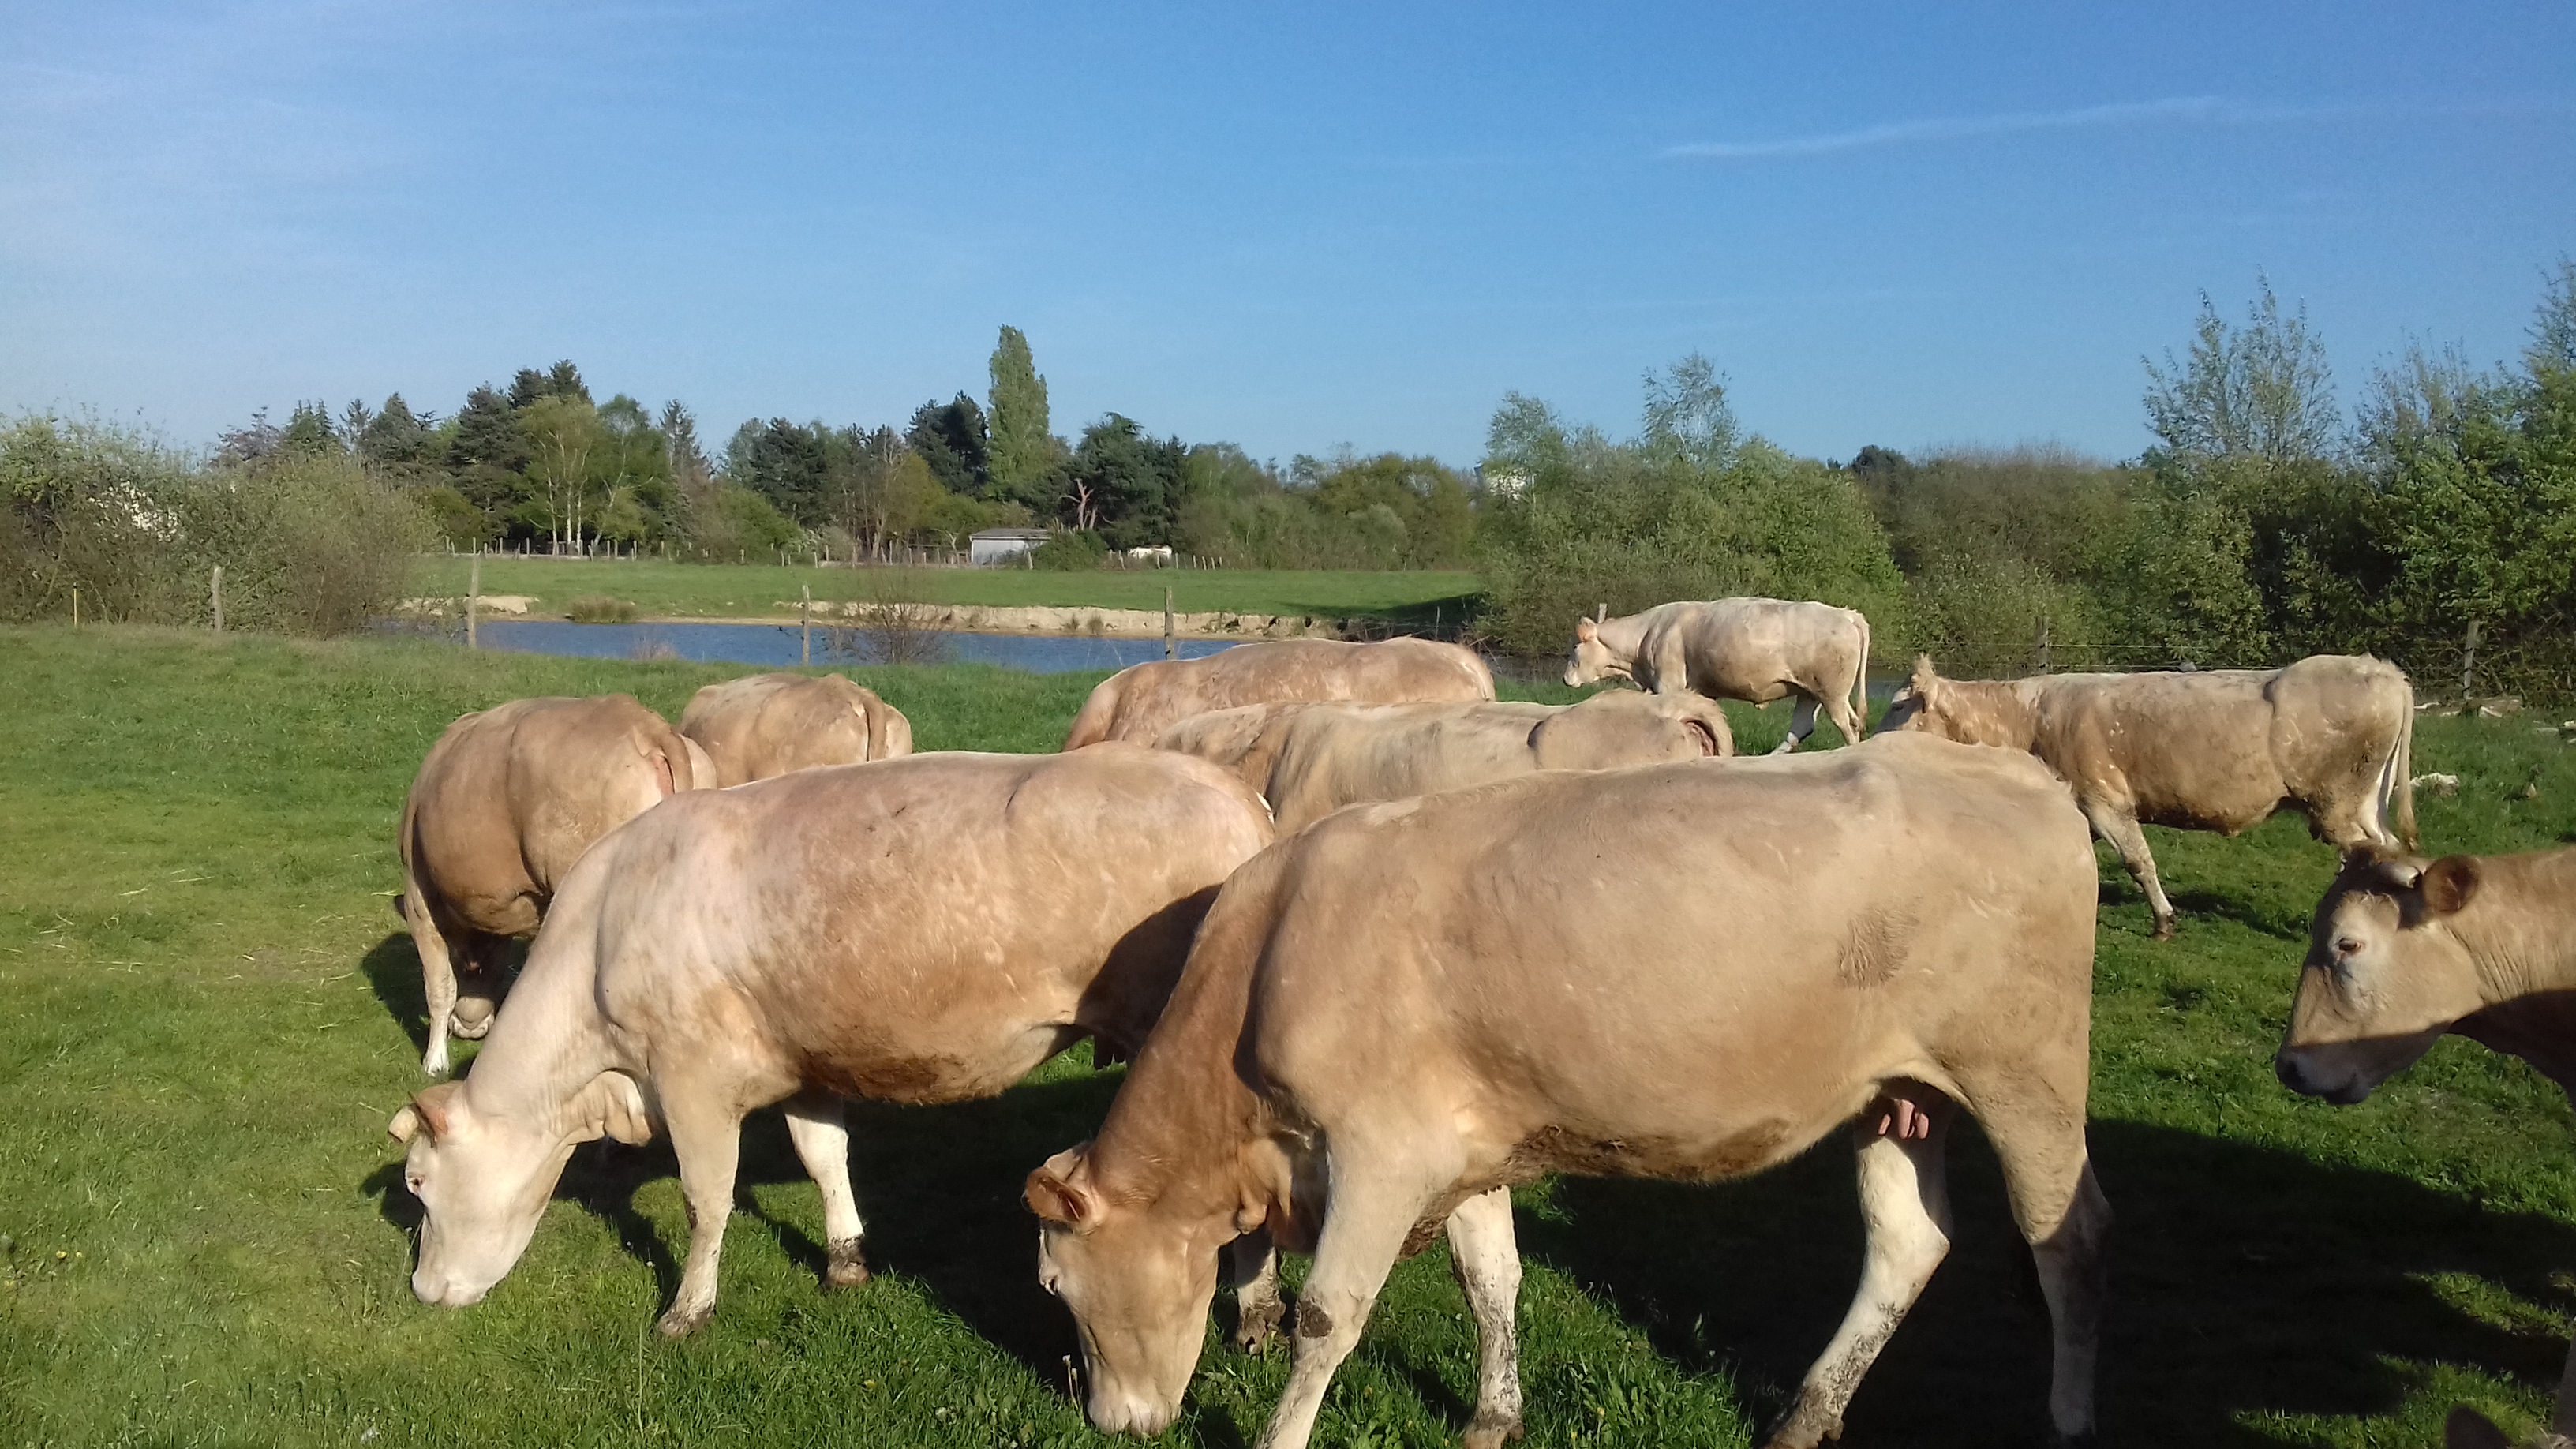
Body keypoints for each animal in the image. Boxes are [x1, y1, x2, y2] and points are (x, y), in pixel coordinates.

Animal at [388, 746, 1273, 1336]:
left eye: (419, 1185)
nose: (422, 1292)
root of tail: (1234, 791)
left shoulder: (692, 1082)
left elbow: (706, 1201)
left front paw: (688, 1309)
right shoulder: (803, 1064)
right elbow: (824, 1159)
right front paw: (846, 1258)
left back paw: (1255, 1309)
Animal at [1026, 732, 2111, 1449]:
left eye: (1054, 1285)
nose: (1106, 1422)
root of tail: (2015, 768)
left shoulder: (1381, 1149)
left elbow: (1328, 1316)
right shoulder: (1465, 1142)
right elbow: (1491, 1279)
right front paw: (1492, 1417)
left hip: (2029, 1074)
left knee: (2067, 1237)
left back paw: (2070, 1417)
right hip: (1895, 1095)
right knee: (1907, 1244)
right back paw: (1806, 1416)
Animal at [1563, 598, 1872, 753]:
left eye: (1575, 648)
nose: (1566, 679)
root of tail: (1847, 614)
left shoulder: (1669, 682)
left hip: (1832, 692)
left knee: (1849, 725)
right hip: (1811, 691)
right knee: (1801, 728)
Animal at [1885, 653, 2417, 940]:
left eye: (1896, 706)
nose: (1872, 741)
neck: (2029, 720)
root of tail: (2380, 669)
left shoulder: (2104, 800)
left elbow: (2139, 860)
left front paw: (2163, 919)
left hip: (2336, 803)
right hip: (2363, 804)